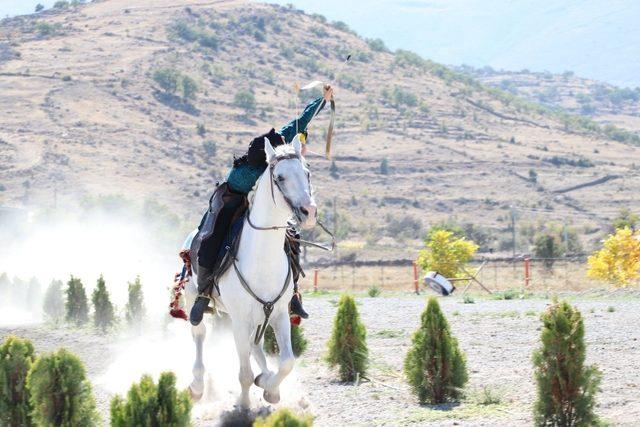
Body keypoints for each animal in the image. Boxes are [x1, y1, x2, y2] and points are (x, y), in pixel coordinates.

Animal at [181, 136, 316, 408]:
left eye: (306, 172)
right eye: (280, 177)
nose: (309, 211)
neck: (262, 258)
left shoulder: (279, 315)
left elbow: (287, 362)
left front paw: (270, 388)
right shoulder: (240, 320)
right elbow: (244, 373)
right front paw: (243, 404)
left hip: (260, 316)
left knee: (256, 347)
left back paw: (266, 378)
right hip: (193, 299)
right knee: (199, 334)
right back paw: (197, 386)